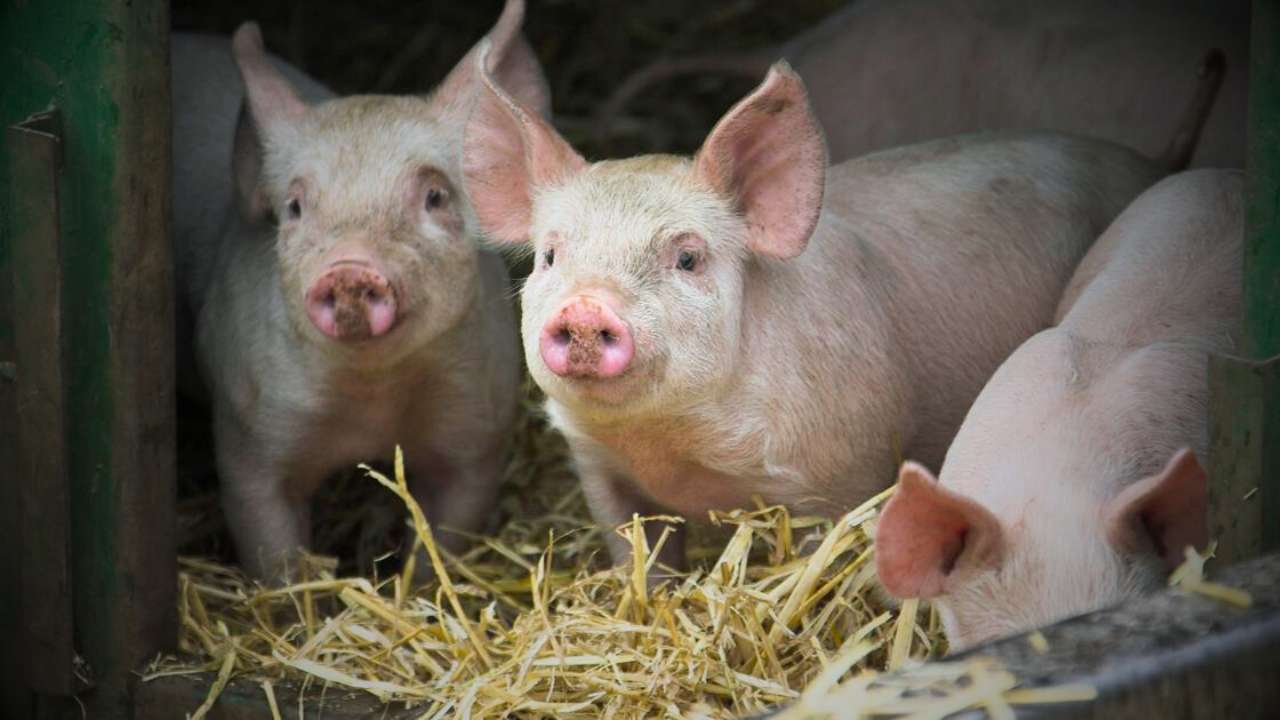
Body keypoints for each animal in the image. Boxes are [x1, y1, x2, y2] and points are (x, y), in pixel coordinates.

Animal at [171, 0, 548, 581]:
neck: (374, 401)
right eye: (295, 207)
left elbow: (445, 535)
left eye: (435, 196)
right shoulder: (247, 432)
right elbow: (274, 551)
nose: (349, 269)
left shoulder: (478, 430)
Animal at [461, 48, 1221, 571]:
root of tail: (1150, 161)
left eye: (688, 258)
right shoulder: (599, 469)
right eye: (550, 255)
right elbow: (639, 556)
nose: (587, 307)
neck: (675, 450)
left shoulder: (837, 475)